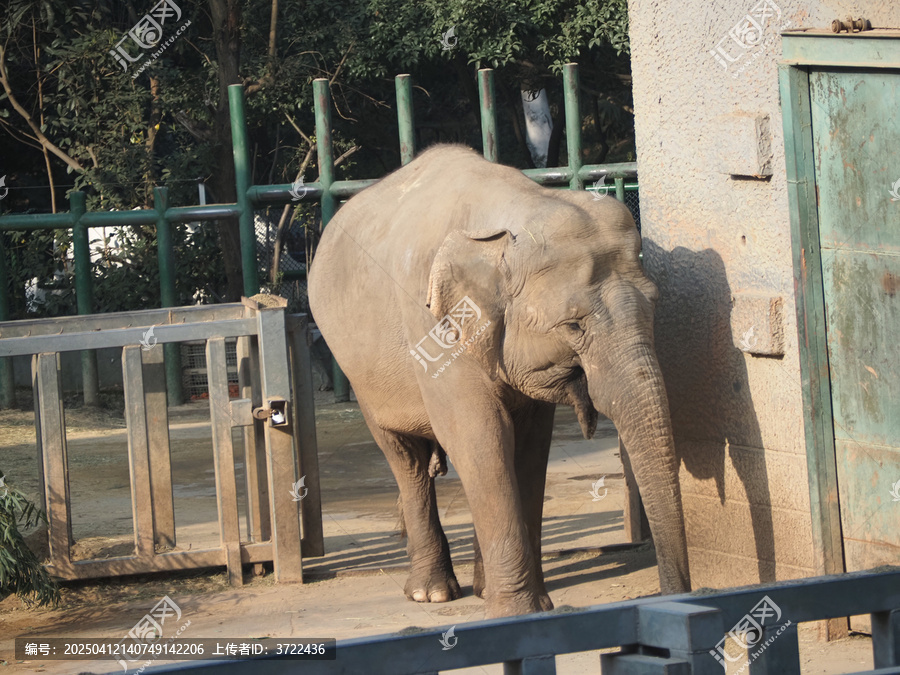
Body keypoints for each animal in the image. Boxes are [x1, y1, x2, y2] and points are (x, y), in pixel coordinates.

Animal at [308, 144, 691, 618]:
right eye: (573, 325)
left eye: (654, 305)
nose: (675, 594)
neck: (515, 211)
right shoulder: (434, 327)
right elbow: (481, 435)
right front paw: (519, 613)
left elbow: (527, 444)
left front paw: (528, 603)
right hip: (359, 372)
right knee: (405, 457)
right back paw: (431, 593)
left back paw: (479, 589)